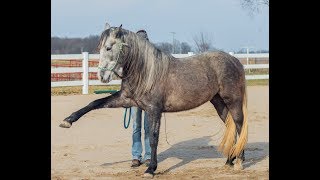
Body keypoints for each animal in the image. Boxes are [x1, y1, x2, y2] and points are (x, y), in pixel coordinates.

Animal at [60, 23, 250, 176]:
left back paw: (239, 161)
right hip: (218, 102)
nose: (102, 76)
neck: (146, 71)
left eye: (108, 48)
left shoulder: (154, 109)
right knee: (230, 125)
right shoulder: (126, 100)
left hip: (232, 100)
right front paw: (67, 121)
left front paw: (151, 169)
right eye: (99, 48)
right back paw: (229, 160)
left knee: (239, 124)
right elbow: (94, 103)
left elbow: (153, 138)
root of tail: (234, 60)